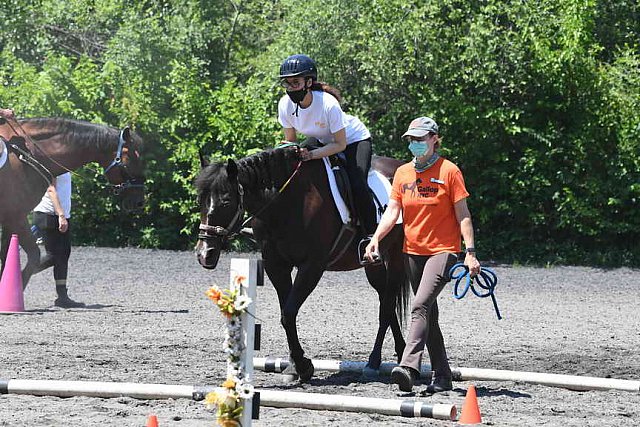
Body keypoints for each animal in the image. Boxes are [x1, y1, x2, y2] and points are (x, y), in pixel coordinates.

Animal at [0, 118, 145, 288]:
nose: (139, 202)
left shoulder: (10, 220)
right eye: (134, 158)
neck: (28, 154)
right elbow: (34, 256)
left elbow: (6, 257)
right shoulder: (16, 217)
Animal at [192, 147, 410, 382]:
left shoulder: (312, 266)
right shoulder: (276, 265)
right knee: (385, 298)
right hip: (372, 262)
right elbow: (286, 313)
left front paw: (304, 365)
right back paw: (398, 351)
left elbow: (288, 313)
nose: (204, 254)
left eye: (225, 201)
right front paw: (295, 366)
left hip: (395, 255)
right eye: (199, 200)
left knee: (387, 305)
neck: (284, 204)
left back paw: (374, 362)